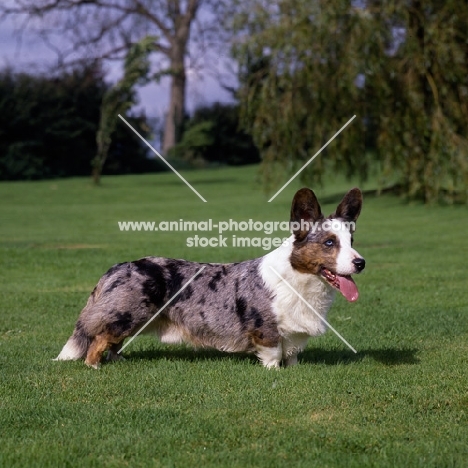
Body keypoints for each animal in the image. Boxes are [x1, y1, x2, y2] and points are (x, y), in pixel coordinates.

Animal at [54, 187, 362, 370]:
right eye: (329, 243)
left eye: (351, 240)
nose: (361, 263)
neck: (298, 278)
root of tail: (117, 267)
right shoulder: (267, 331)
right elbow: (273, 356)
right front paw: (274, 373)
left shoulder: (296, 335)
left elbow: (293, 355)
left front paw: (295, 371)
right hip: (127, 315)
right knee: (99, 341)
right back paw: (95, 368)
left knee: (112, 343)